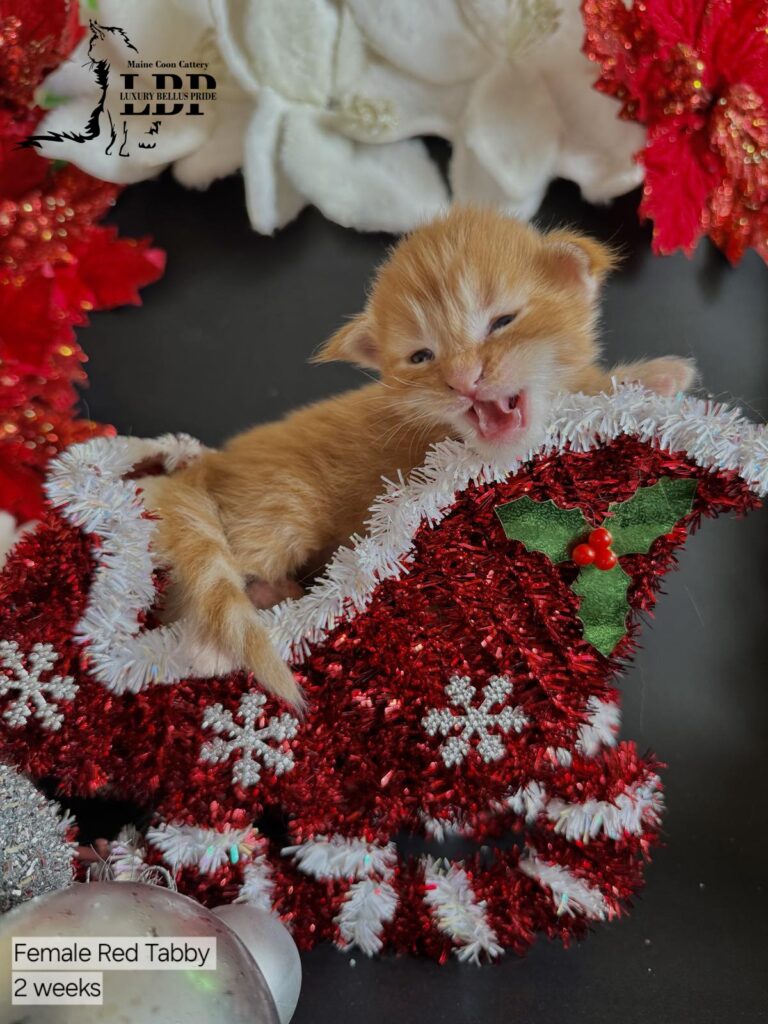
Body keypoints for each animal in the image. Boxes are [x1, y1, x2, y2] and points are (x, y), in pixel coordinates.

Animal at [144, 206, 696, 704]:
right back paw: (207, 644)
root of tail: (212, 463)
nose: (463, 379)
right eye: (422, 357)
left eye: (503, 321)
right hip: (282, 508)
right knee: (195, 586)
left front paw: (653, 378)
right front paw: (648, 375)